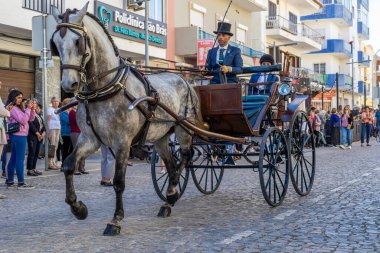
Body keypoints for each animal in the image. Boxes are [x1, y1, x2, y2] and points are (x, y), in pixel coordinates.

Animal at [50, 2, 202, 235]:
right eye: (56, 43)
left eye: (78, 41)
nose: (69, 84)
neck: (105, 88)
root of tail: (184, 79)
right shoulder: (90, 139)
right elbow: (68, 164)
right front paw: (78, 208)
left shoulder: (122, 142)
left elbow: (118, 182)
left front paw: (116, 219)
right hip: (160, 137)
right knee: (171, 162)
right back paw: (169, 200)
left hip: (183, 129)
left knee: (185, 156)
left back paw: (171, 193)